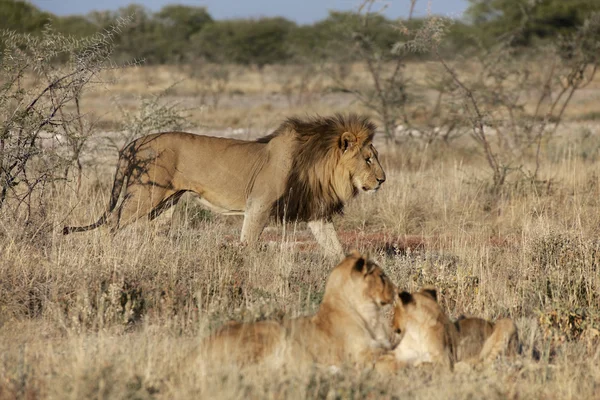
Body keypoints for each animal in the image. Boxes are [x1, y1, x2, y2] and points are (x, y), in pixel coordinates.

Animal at [63, 113, 384, 256]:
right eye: (368, 159)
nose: (382, 180)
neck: (319, 166)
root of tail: (134, 142)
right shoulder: (259, 204)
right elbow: (249, 242)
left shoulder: (317, 213)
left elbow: (334, 247)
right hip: (144, 194)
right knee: (112, 222)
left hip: (166, 202)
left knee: (155, 231)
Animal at [195, 250, 396, 372]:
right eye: (382, 276)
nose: (397, 290)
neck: (371, 314)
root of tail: (197, 349)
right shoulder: (359, 354)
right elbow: (386, 355)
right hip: (273, 330)